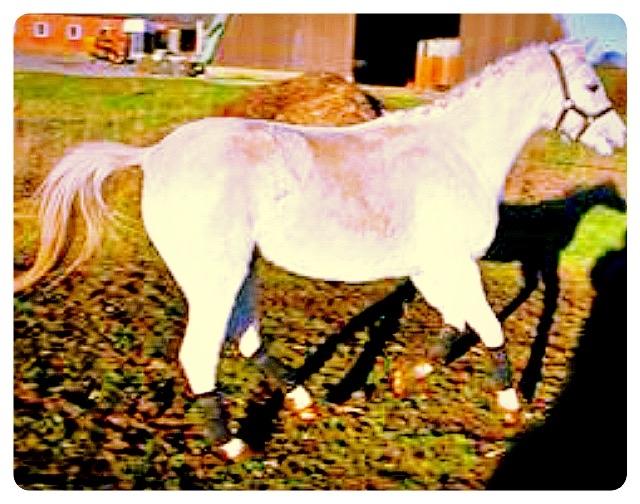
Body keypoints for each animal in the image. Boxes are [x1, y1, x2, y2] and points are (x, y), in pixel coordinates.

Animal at [14, 40, 626, 456]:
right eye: (593, 88)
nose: (618, 139)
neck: (456, 152)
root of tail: (154, 155)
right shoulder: (451, 263)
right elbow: (488, 324)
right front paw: (511, 406)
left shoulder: (432, 266)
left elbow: (457, 323)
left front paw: (408, 377)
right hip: (217, 274)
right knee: (202, 352)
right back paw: (232, 444)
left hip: (240, 269)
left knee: (245, 337)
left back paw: (303, 402)